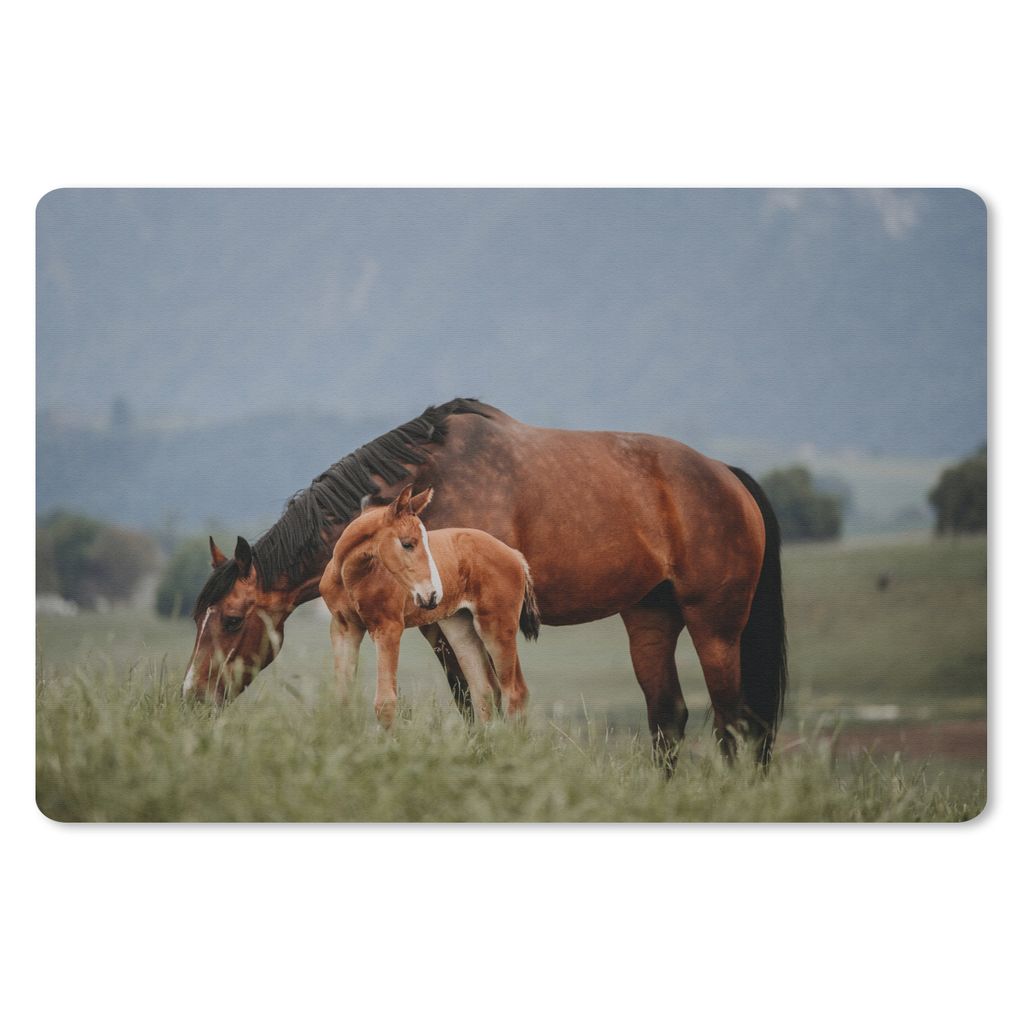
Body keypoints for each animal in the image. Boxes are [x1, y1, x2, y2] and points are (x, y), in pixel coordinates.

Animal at [318, 484, 540, 728]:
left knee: (515, 691)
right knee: (485, 690)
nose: (432, 595)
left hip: (497, 626)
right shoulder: (344, 628)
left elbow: (385, 703)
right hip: (460, 626)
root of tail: (515, 555)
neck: (350, 577)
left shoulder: (388, 629)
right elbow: (342, 698)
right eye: (407, 543)